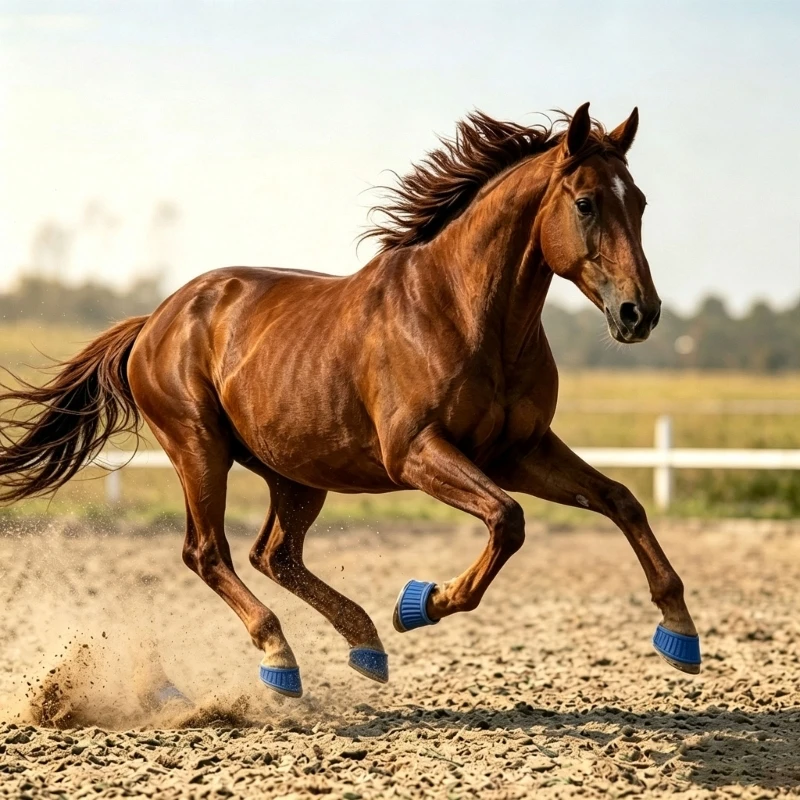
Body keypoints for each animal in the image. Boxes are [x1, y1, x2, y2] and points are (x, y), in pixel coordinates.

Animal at [0, 102, 700, 698]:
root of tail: (155, 320)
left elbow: (620, 499)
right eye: (585, 203)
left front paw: (680, 631)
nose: (640, 313)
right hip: (199, 449)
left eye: (638, 202)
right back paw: (280, 658)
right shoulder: (415, 452)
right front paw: (420, 602)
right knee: (209, 552)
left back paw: (364, 644)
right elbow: (508, 520)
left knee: (273, 554)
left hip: (297, 471)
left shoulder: (519, 451)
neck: (466, 313)